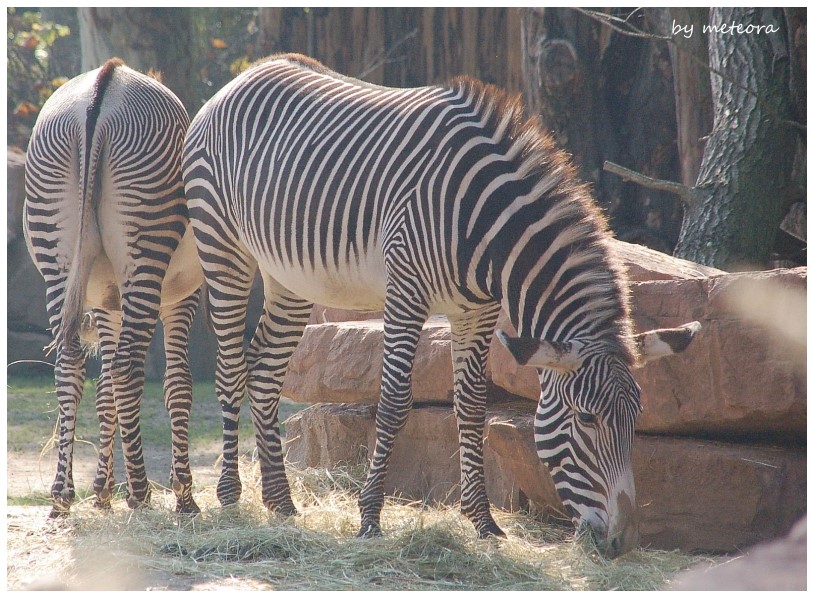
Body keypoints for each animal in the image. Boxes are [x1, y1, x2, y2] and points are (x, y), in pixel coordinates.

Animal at [24, 58, 204, 516]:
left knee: (69, 363)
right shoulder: (182, 298)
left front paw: (101, 490)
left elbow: (104, 390)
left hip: (57, 256)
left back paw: (62, 496)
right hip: (145, 248)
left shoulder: (107, 304)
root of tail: (105, 84)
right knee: (127, 368)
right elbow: (178, 383)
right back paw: (140, 492)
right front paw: (183, 494)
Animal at [183, 54, 700, 560]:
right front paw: (369, 518)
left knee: (265, 372)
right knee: (231, 368)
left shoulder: (478, 311)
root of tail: (242, 77)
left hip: (289, 276)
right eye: (588, 419)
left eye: (636, 417)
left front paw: (484, 522)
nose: (624, 543)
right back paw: (229, 496)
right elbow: (394, 402)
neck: (487, 227)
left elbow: (471, 406)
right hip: (222, 246)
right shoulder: (406, 293)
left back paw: (280, 502)